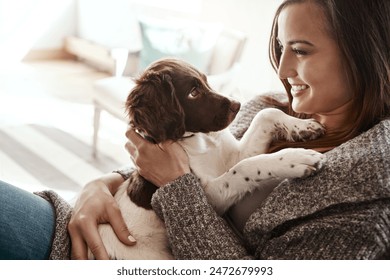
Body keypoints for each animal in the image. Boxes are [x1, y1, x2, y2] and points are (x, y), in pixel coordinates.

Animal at [89, 57, 326, 260]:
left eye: (206, 80)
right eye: (193, 93)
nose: (237, 105)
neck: (200, 140)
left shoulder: (235, 156)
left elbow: (265, 114)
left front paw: (304, 127)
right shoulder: (211, 197)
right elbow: (245, 167)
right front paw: (297, 159)